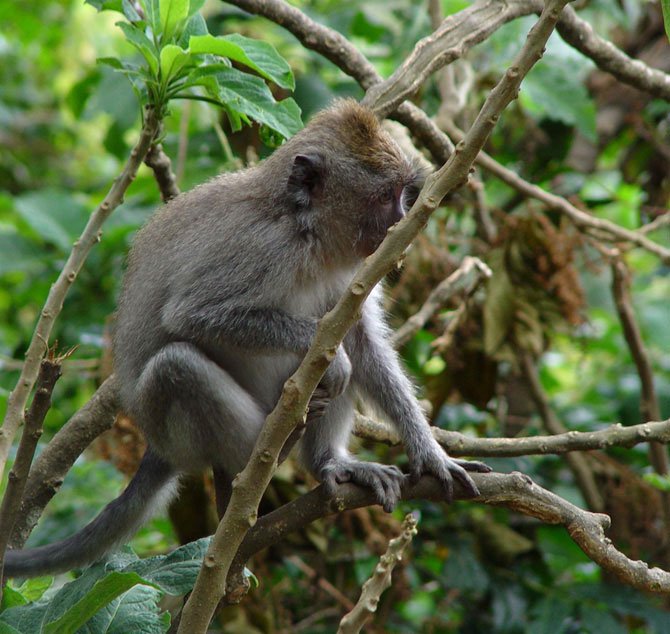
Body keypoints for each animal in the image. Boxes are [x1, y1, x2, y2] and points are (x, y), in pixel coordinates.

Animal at [2, 99, 490, 576]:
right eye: (385, 197)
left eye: (404, 194)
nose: (402, 223)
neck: (307, 233)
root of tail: (157, 447)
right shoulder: (263, 247)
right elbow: (193, 315)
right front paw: (333, 363)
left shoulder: (355, 270)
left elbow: (362, 344)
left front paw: (430, 456)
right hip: (178, 430)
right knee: (176, 365)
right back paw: (262, 454)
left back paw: (327, 462)